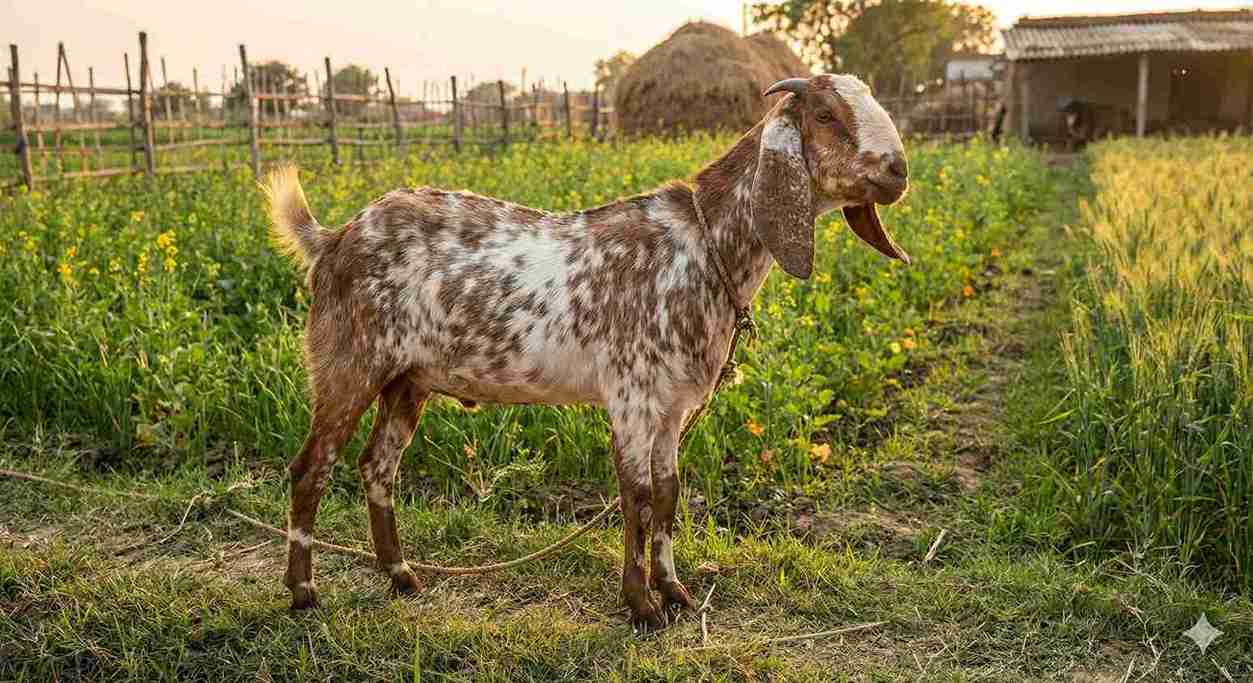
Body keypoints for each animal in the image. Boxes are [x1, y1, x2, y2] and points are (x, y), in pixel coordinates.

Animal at [263, 74, 910, 629]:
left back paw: (400, 575)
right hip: (349, 364)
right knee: (311, 468)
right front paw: (640, 606)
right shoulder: (630, 397)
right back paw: (304, 592)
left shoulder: (672, 408)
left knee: (378, 467)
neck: (703, 247)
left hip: (408, 381)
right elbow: (637, 498)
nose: (899, 170)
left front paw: (674, 592)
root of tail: (336, 238)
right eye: (825, 115)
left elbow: (669, 494)